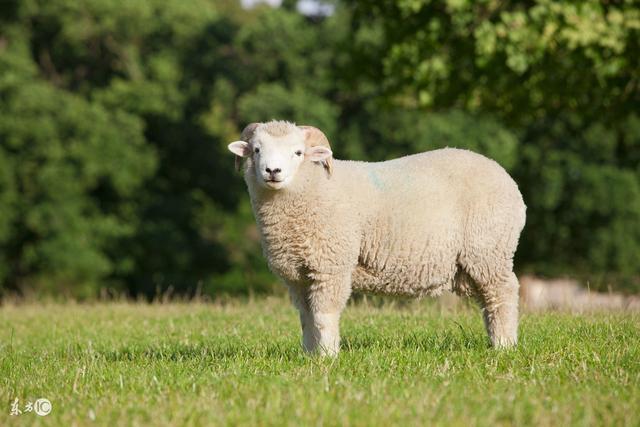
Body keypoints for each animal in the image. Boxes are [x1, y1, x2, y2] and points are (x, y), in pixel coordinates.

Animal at [228, 119, 528, 354]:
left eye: (298, 152)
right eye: (256, 150)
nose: (272, 171)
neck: (315, 188)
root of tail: (508, 179)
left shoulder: (332, 266)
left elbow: (324, 315)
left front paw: (327, 356)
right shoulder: (298, 276)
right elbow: (306, 318)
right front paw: (310, 355)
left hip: (488, 250)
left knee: (503, 293)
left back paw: (504, 346)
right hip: (473, 261)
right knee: (489, 300)